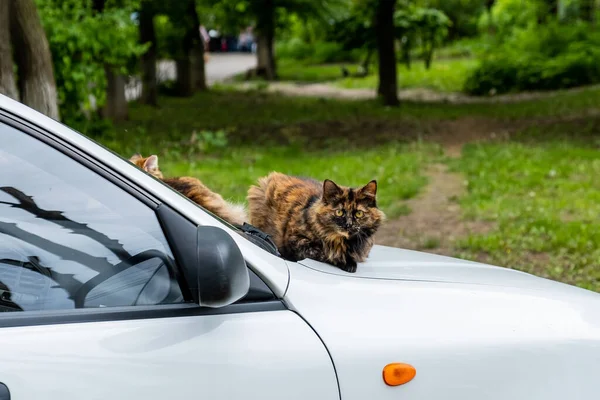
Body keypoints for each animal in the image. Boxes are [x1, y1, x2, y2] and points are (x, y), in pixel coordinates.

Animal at [247, 172, 384, 272]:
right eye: (339, 212)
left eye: (358, 213)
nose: (348, 225)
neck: (341, 241)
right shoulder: (295, 241)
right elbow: (320, 252)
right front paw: (345, 262)